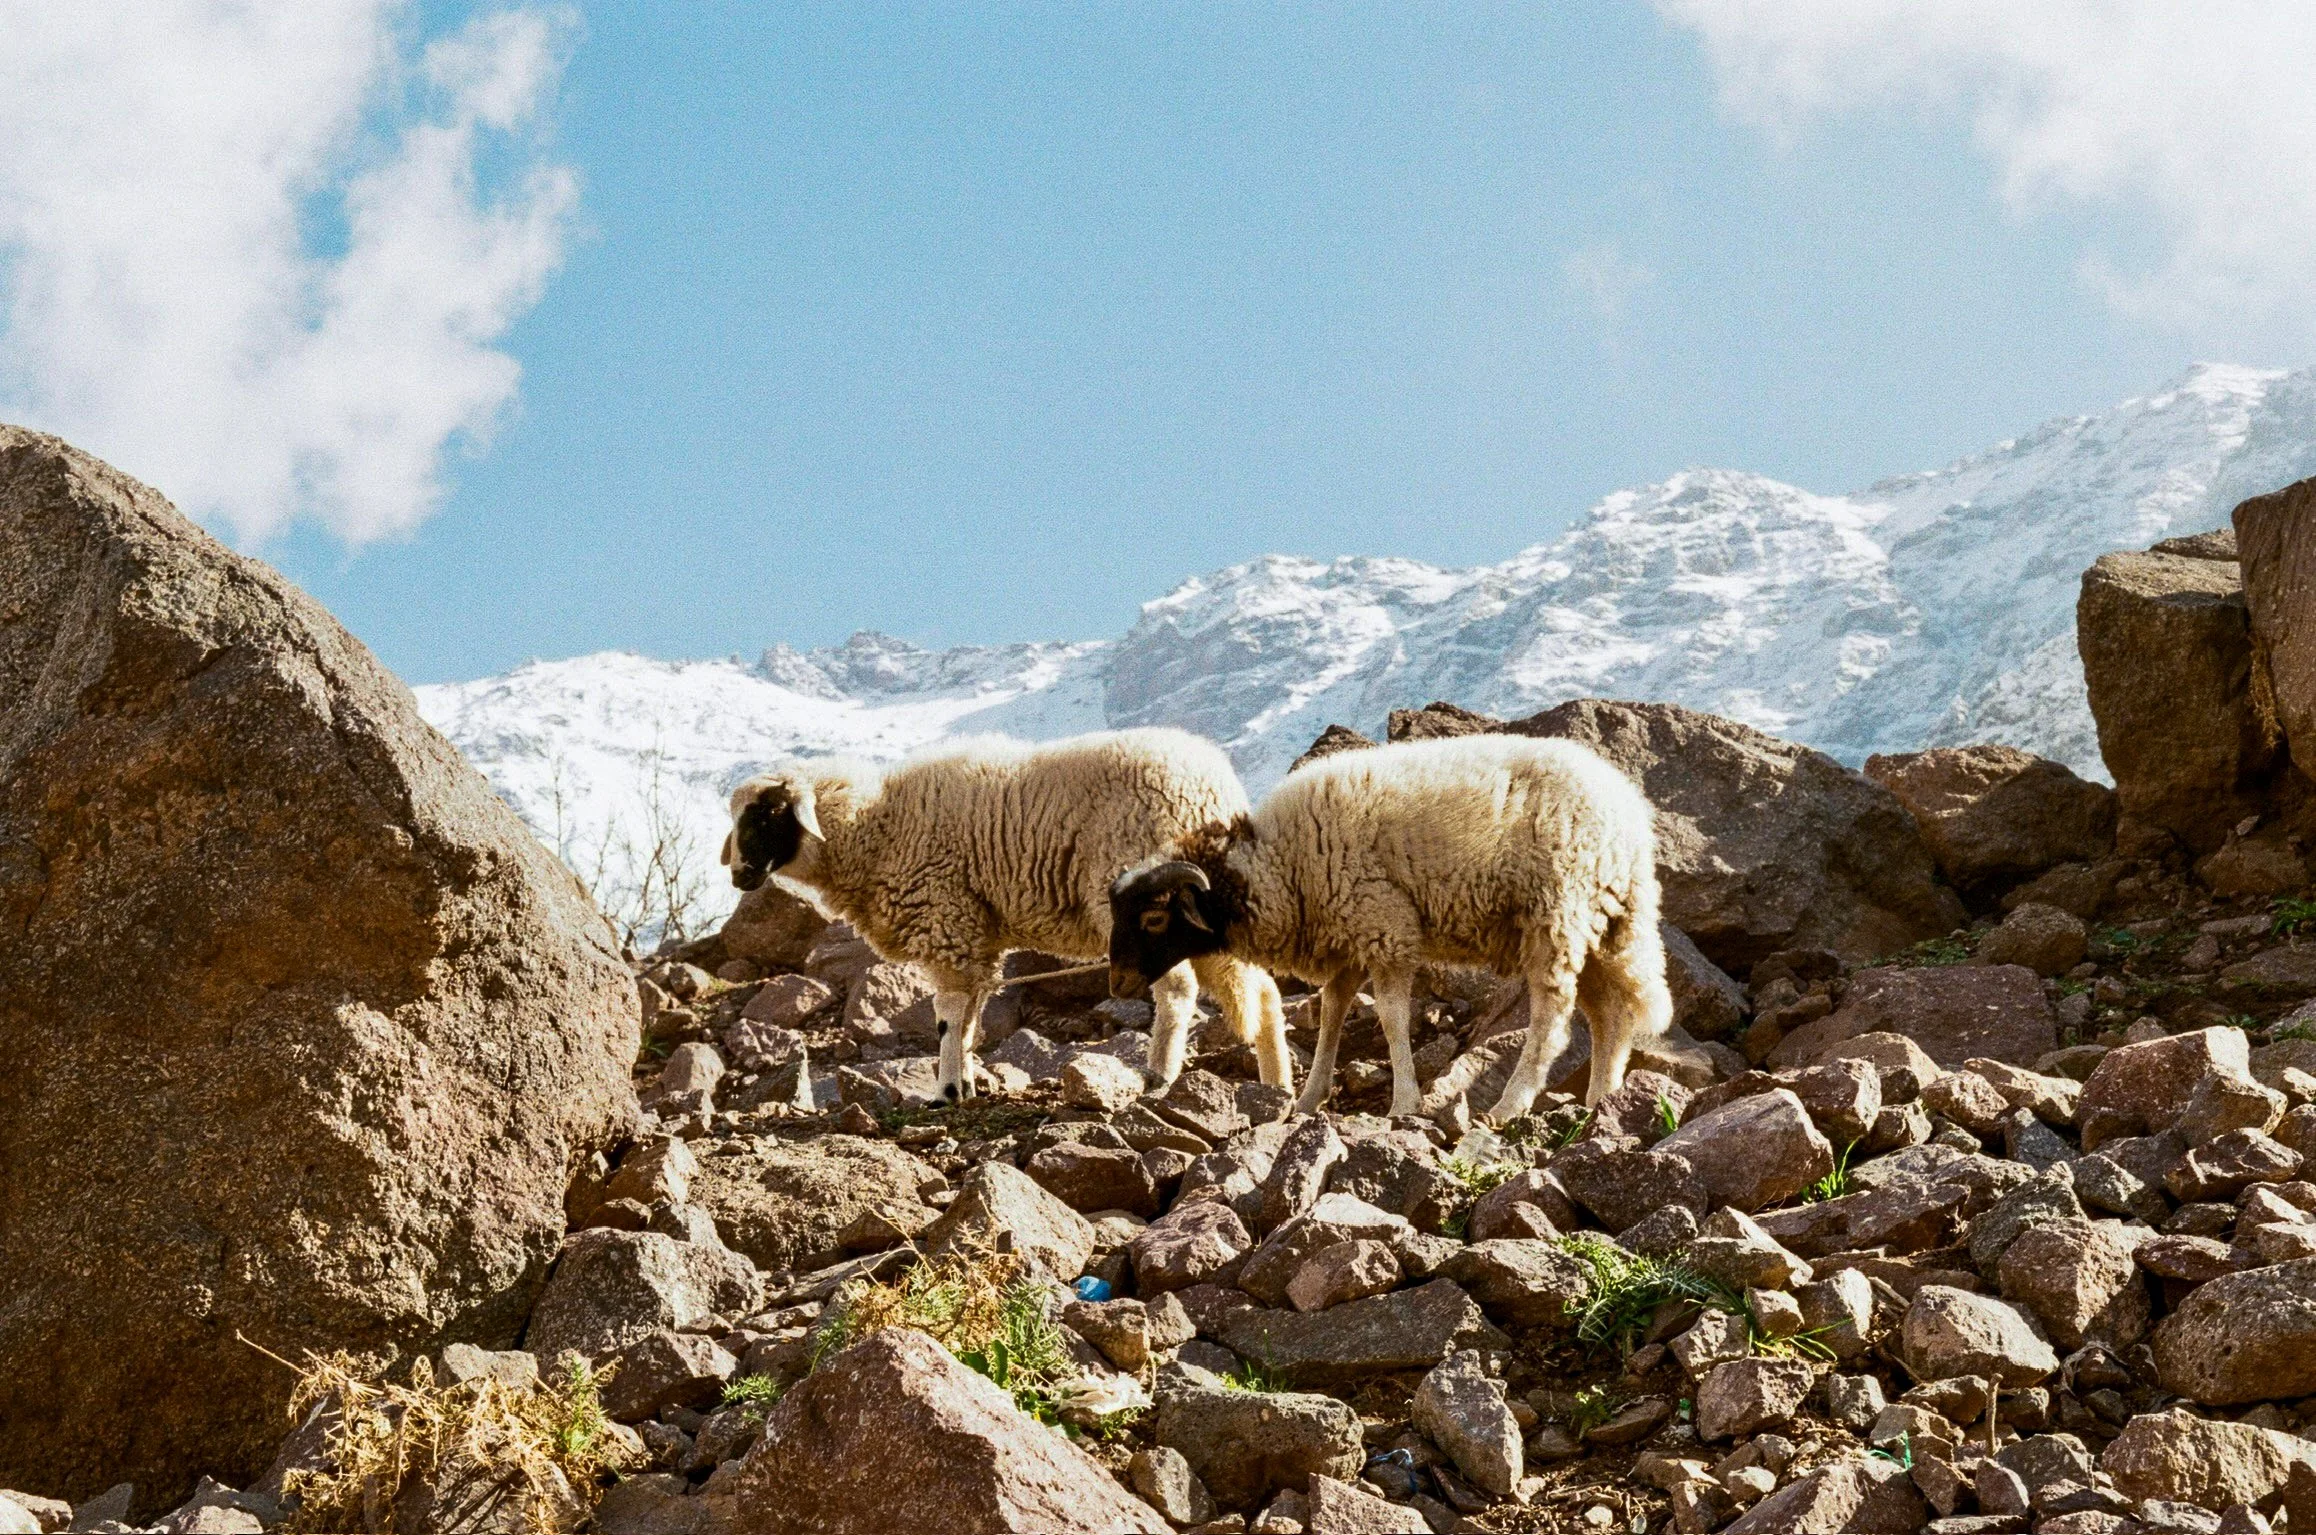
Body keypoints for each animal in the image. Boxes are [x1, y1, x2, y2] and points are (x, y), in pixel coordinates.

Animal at [721, 728, 1292, 1101]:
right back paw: (1276, 1085)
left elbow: (949, 1015)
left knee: (1176, 990)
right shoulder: (975, 935)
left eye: (769, 815)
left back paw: (1159, 1077)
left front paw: (948, 1090)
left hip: (1145, 904)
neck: (873, 827)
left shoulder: (946, 920)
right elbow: (973, 1016)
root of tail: (1213, 789)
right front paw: (967, 1082)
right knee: (1262, 989)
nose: (741, 875)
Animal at [1106, 733, 1671, 1122]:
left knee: (1553, 1017)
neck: (1278, 868)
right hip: (1599, 922)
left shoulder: (1385, 929)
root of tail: (1630, 813)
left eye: (1154, 917)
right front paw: (1309, 1099)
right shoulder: (1348, 942)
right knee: (1610, 1012)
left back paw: (1512, 1103)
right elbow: (1331, 1016)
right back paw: (1600, 1100)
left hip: (1556, 914)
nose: (1118, 982)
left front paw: (1404, 1102)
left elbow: (1393, 1020)